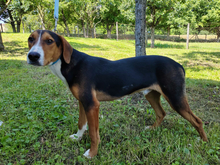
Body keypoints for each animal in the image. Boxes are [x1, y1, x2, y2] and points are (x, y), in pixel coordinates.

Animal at [26, 30, 207, 159]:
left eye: (50, 41)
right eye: (30, 39)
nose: (32, 56)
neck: (71, 63)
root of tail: (178, 65)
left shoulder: (92, 105)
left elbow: (93, 134)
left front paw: (92, 154)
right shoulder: (82, 101)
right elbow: (81, 123)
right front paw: (77, 138)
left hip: (175, 98)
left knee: (198, 121)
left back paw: (203, 142)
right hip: (151, 94)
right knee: (161, 113)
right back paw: (152, 129)